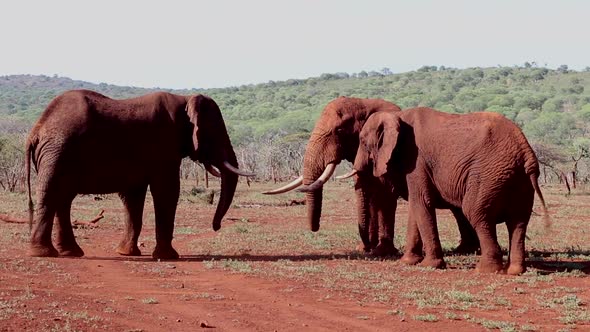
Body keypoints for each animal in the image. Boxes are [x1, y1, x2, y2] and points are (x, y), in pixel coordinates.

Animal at [26, 90, 254, 260]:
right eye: (215, 133)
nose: (216, 227)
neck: (184, 99)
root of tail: (35, 130)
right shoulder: (163, 144)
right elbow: (167, 191)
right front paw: (168, 257)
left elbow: (133, 197)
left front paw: (127, 253)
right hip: (57, 152)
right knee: (52, 195)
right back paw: (43, 253)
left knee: (63, 199)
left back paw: (71, 253)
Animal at [352, 109, 552, 274]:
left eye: (362, 141)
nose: (367, 250)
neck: (397, 116)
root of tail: (526, 152)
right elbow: (417, 206)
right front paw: (408, 262)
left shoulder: (416, 161)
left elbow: (422, 202)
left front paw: (430, 265)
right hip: (518, 180)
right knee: (518, 221)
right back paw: (515, 271)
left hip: (489, 176)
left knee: (477, 214)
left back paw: (485, 270)